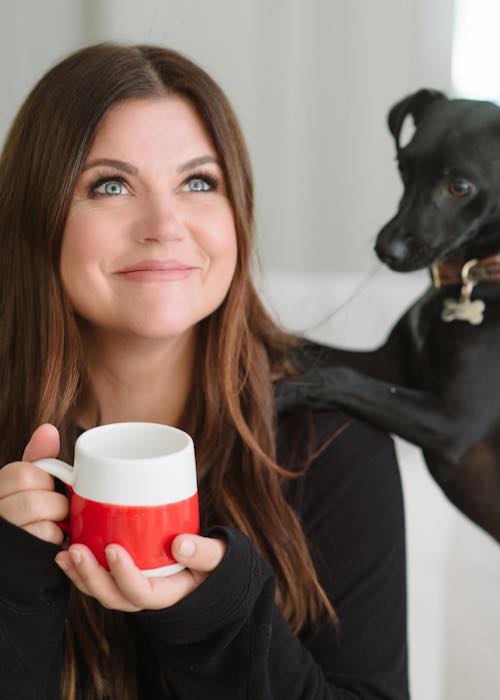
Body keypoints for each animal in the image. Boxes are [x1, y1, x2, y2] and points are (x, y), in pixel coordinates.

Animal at [276, 89, 500, 540]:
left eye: (460, 187)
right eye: (403, 167)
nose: (386, 251)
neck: (471, 276)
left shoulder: (454, 421)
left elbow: (336, 376)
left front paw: (286, 392)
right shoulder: (390, 370)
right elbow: (307, 349)